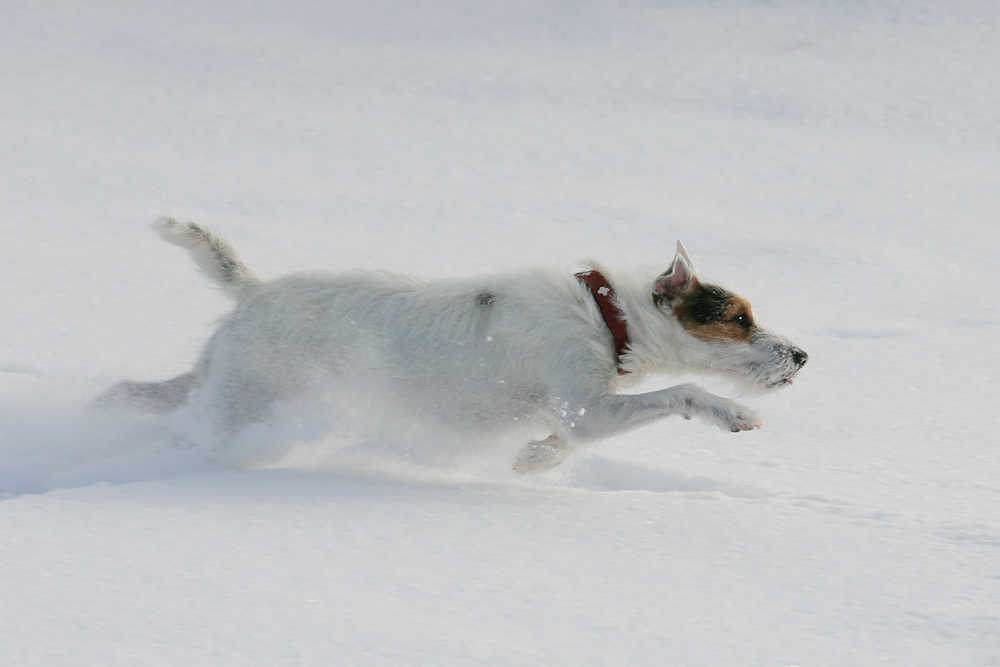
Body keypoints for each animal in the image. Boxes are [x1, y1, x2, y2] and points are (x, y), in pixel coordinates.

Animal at [99, 219, 804, 474]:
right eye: (740, 318)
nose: (802, 356)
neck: (608, 317)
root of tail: (254, 289)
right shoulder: (588, 405)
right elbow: (680, 391)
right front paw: (732, 411)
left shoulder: (583, 412)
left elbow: (563, 440)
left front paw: (535, 458)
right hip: (243, 398)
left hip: (219, 382)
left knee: (130, 395)